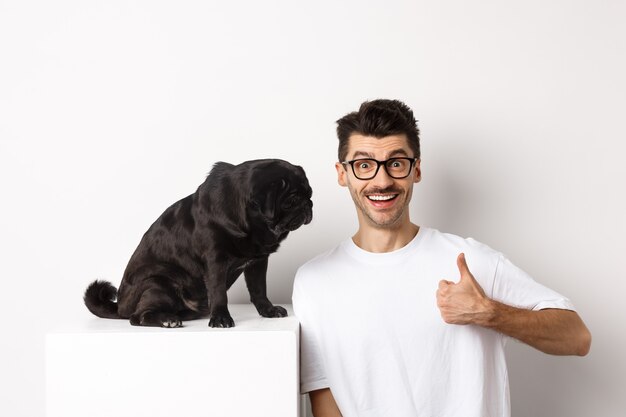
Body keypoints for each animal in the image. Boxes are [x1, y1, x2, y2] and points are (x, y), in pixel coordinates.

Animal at [84, 158, 312, 326]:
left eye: (309, 194)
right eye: (291, 201)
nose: (308, 205)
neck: (251, 224)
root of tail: (120, 306)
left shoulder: (257, 261)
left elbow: (259, 290)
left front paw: (268, 310)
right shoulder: (215, 261)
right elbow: (219, 293)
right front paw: (220, 318)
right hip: (159, 282)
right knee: (137, 318)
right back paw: (167, 320)